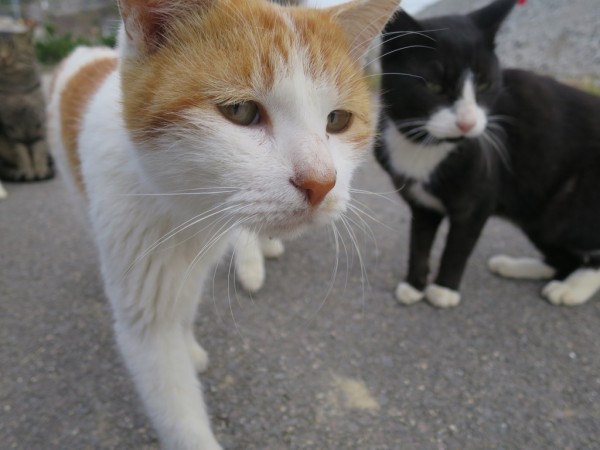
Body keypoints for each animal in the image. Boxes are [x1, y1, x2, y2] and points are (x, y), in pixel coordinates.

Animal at [47, 1, 398, 448]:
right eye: (240, 111)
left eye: (337, 120)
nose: (321, 183)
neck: (186, 211)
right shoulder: (145, 307)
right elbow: (176, 408)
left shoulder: (195, 260)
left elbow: (184, 306)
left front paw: (189, 346)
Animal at [376, 0, 600, 308]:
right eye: (434, 86)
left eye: (484, 84)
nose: (468, 123)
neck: (427, 144)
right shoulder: (423, 205)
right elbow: (419, 244)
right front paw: (414, 285)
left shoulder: (476, 204)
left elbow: (457, 248)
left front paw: (443, 290)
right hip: (538, 213)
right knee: (561, 259)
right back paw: (514, 267)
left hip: (570, 208)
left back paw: (571, 289)